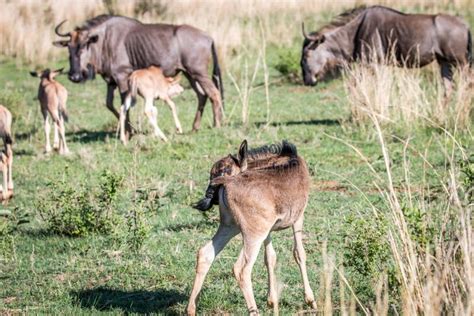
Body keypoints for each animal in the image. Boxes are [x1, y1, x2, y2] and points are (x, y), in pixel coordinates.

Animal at [187, 141, 316, 316]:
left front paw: (272, 300)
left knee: (205, 254)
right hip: (252, 235)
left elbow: (270, 258)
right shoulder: (298, 218)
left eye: (224, 170)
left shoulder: (267, 230)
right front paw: (310, 300)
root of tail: (227, 183)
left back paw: (191, 309)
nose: (209, 195)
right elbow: (299, 254)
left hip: (230, 227)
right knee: (241, 269)